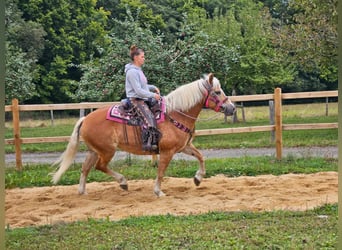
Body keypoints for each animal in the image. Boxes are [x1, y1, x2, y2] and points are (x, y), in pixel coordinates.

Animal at [52, 73, 236, 196]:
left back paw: (82, 191)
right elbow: (161, 171)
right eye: (217, 92)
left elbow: (200, 157)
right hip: (107, 151)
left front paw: (198, 178)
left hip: (94, 150)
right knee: (100, 166)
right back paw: (123, 182)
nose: (232, 108)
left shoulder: (184, 147)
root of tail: (86, 119)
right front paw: (158, 191)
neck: (175, 114)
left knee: (85, 168)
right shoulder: (167, 152)